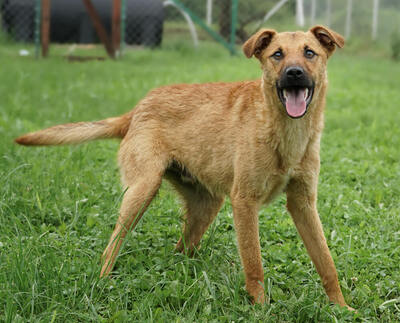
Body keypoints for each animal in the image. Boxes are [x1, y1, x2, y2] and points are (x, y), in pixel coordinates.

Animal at [14, 25, 352, 308]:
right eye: (277, 55)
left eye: (310, 53)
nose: (294, 73)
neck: (285, 132)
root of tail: (137, 109)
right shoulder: (244, 202)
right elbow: (254, 265)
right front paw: (261, 308)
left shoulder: (303, 203)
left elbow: (326, 263)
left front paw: (341, 307)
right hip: (142, 191)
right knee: (111, 247)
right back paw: (102, 283)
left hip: (207, 206)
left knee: (180, 250)